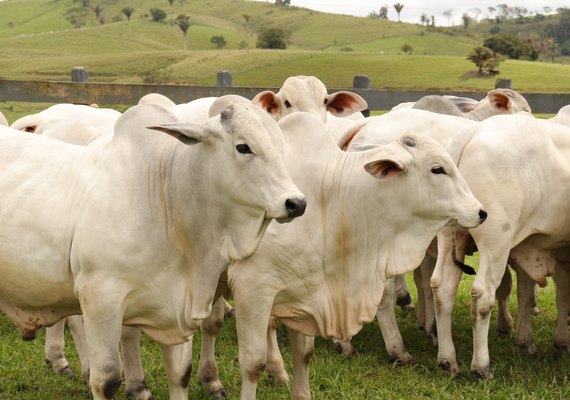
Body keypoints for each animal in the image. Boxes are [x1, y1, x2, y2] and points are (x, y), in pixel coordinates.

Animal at [0, 103, 306, 400]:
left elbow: (181, 373)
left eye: (280, 147)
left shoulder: (178, 306)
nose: (296, 203)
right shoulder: (100, 297)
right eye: (243, 147)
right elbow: (107, 380)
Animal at [225, 111, 484, 398]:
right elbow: (252, 363)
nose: (480, 211)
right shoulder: (252, 287)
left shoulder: (300, 292)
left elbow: (303, 353)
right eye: (437, 169)